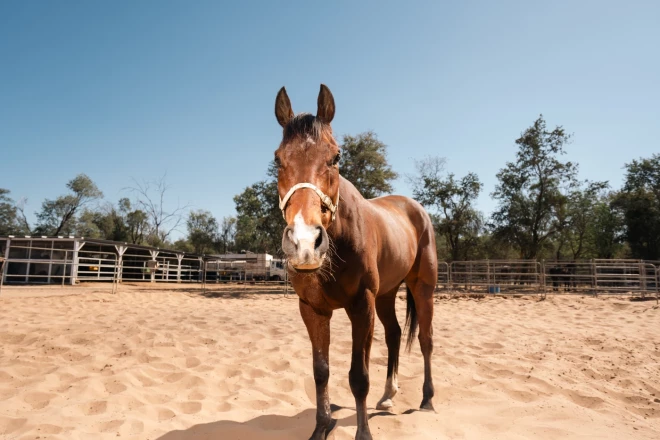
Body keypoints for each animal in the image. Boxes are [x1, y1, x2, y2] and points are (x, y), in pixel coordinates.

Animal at [274, 84, 438, 438]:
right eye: (277, 159)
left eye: (336, 156)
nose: (305, 243)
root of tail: (415, 208)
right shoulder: (313, 309)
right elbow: (321, 371)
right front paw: (322, 427)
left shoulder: (361, 305)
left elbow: (358, 376)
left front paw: (363, 433)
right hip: (387, 294)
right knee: (393, 335)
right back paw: (388, 396)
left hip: (423, 288)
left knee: (425, 340)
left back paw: (427, 400)